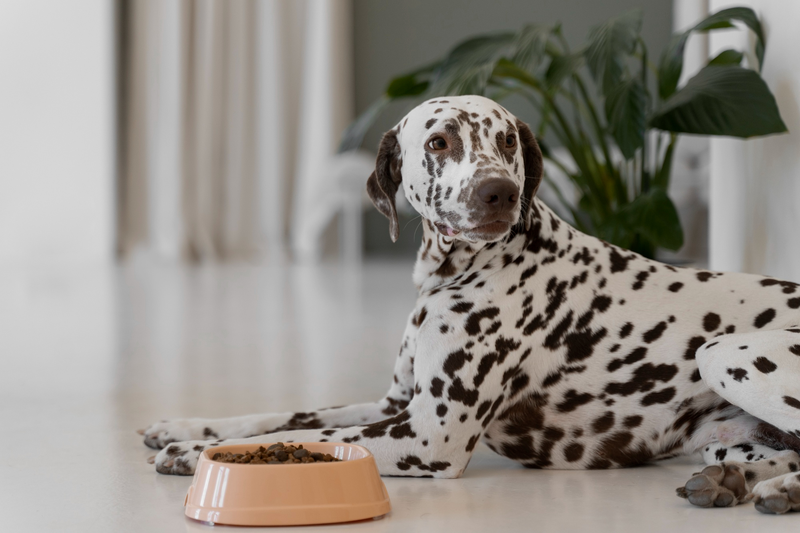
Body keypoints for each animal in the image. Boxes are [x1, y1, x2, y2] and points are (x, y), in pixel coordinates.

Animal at [142, 96, 800, 516]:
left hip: (722, 353)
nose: (499, 192)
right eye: (439, 141)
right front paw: (184, 428)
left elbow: (316, 437)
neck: (461, 273)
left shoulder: (428, 433)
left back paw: (775, 491)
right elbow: (283, 415)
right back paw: (739, 482)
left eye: (507, 140)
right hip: (720, 434)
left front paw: (198, 453)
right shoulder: (395, 403)